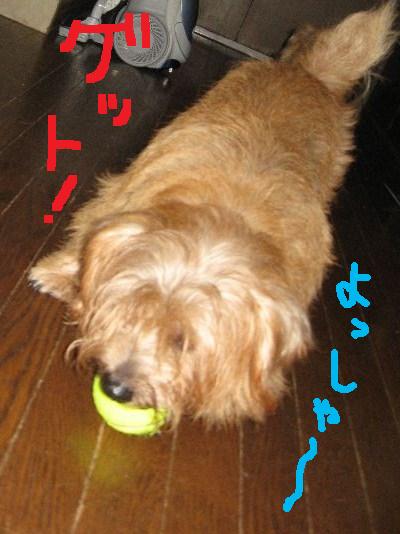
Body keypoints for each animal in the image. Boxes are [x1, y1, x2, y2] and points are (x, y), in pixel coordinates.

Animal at [29, 3, 397, 427]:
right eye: (133, 307)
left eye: (182, 343)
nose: (115, 388)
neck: (227, 211)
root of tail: (309, 74)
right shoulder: (119, 198)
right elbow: (87, 238)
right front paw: (60, 274)